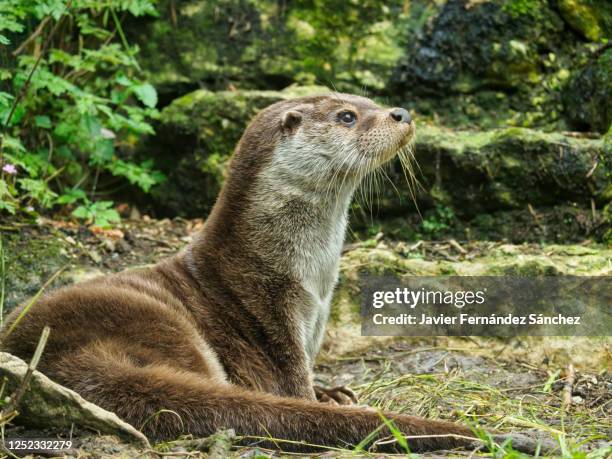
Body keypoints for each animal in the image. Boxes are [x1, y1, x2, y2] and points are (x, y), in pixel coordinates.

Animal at [1, 93, 548, 452]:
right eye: (348, 116)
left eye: (368, 98)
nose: (402, 113)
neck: (314, 280)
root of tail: (62, 357)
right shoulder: (273, 304)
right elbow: (290, 376)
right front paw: (321, 402)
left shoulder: (313, 318)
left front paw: (332, 392)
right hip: (156, 321)